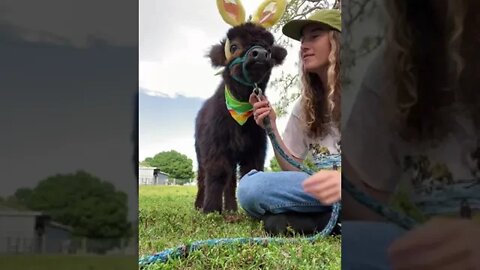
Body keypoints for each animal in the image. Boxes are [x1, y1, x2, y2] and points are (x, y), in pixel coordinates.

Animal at [194, 22, 284, 213]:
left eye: (269, 48)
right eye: (234, 46)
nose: (260, 53)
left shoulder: (255, 149)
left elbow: (249, 173)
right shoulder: (216, 148)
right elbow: (217, 174)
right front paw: (211, 209)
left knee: (231, 181)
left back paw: (231, 209)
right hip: (200, 152)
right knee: (202, 178)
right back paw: (199, 205)